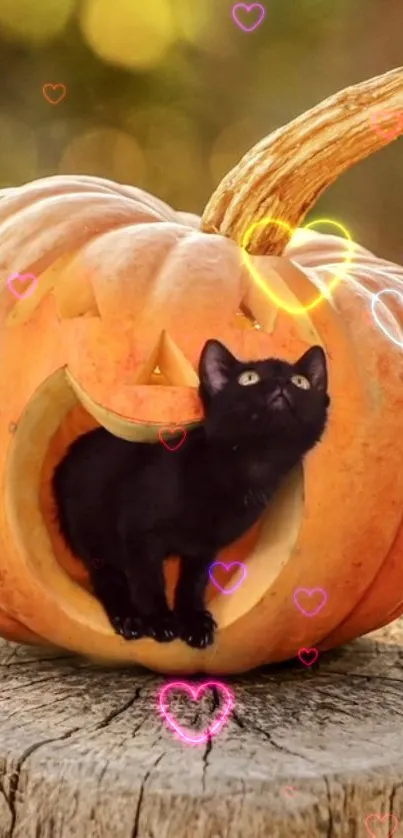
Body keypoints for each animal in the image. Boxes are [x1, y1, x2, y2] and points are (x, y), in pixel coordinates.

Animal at [52, 340, 332, 648]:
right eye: (249, 379)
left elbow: (193, 582)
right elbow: (147, 580)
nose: (281, 383)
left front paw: (193, 621)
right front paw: (159, 621)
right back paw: (128, 618)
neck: (249, 465)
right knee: (106, 576)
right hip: (92, 533)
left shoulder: (203, 546)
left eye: (300, 382)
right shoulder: (139, 532)